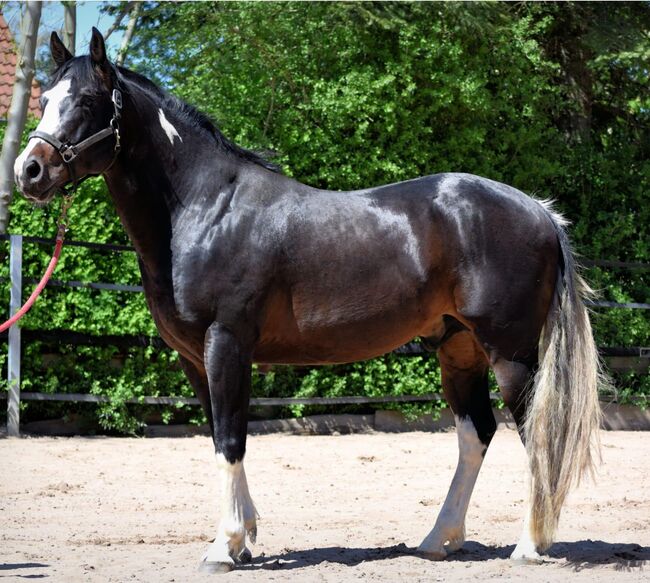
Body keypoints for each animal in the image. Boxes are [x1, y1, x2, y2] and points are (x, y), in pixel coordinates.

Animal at [13, 29, 604, 572]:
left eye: (86, 101)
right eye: (45, 100)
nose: (29, 171)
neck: (204, 208)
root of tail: (540, 211)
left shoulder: (226, 344)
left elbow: (232, 438)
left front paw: (225, 547)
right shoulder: (193, 359)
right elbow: (218, 437)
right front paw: (244, 538)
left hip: (510, 353)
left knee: (534, 434)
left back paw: (529, 546)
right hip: (458, 349)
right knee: (475, 433)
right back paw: (439, 540)